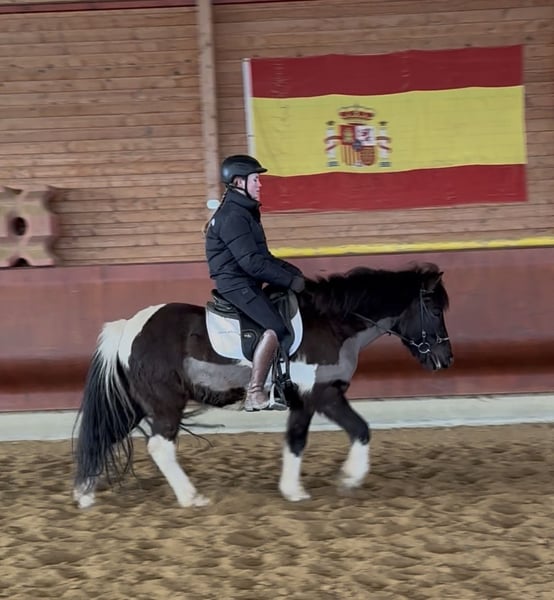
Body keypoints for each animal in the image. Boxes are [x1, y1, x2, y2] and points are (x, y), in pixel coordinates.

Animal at [72, 262, 453, 509]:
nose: (445, 359)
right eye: (435, 310)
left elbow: (296, 441)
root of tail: (129, 327)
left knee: (104, 434)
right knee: (160, 447)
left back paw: (84, 493)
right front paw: (349, 478)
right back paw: (191, 497)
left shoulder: (302, 401)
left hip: (136, 404)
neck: (332, 324)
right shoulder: (324, 395)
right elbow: (360, 429)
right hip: (166, 403)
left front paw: (293, 490)